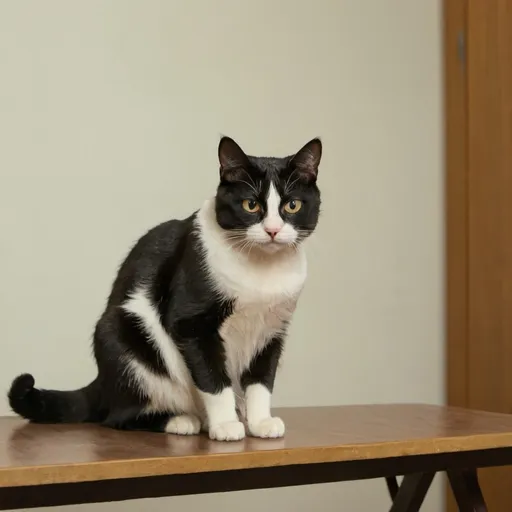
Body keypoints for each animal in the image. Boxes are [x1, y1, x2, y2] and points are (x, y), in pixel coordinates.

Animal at [8, 136, 322, 440]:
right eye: (250, 205)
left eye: (292, 205)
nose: (272, 230)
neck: (262, 272)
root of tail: (102, 383)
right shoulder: (191, 322)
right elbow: (213, 378)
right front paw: (225, 425)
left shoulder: (272, 328)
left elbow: (261, 380)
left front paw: (260, 422)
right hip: (125, 339)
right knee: (119, 417)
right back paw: (184, 421)